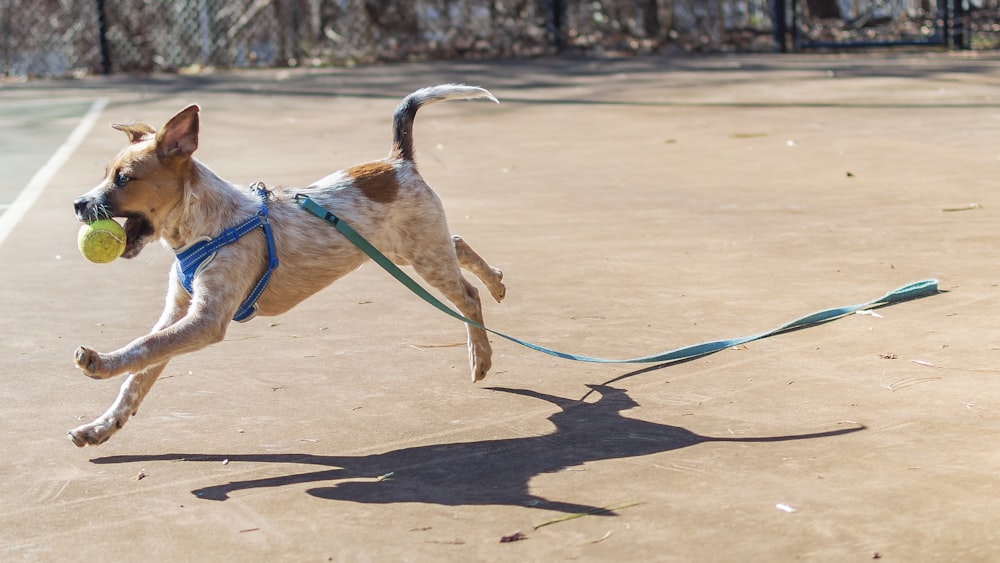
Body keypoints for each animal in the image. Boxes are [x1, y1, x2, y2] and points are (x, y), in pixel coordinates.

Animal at [70, 83, 508, 450]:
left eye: (123, 178)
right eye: (106, 174)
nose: (77, 203)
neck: (205, 228)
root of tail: (399, 162)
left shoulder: (206, 320)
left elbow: (144, 347)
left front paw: (100, 364)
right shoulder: (179, 312)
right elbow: (140, 374)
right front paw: (102, 426)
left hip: (422, 255)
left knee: (467, 295)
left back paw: (481, 354)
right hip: (406, 249)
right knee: (458, 243)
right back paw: (497, 282)